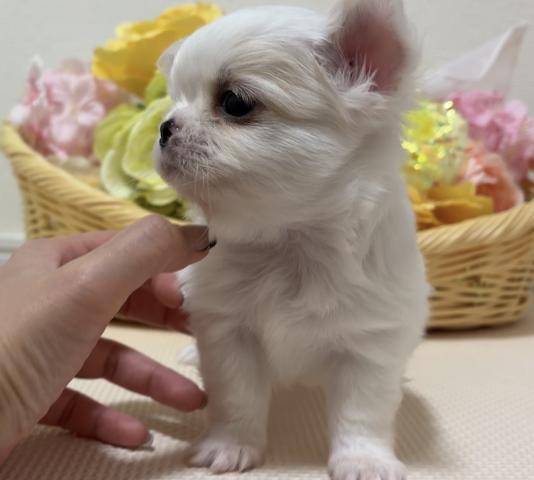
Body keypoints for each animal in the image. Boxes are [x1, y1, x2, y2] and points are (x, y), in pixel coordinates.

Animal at [154, 1, 429, 478]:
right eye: (175, 100)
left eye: (235, 103)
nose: (164, 127)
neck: (290, 243)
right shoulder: (227, 333)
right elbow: (237, 397)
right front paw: (231, 446)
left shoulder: (371, 346)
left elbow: (363, 412)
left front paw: (363, 460)